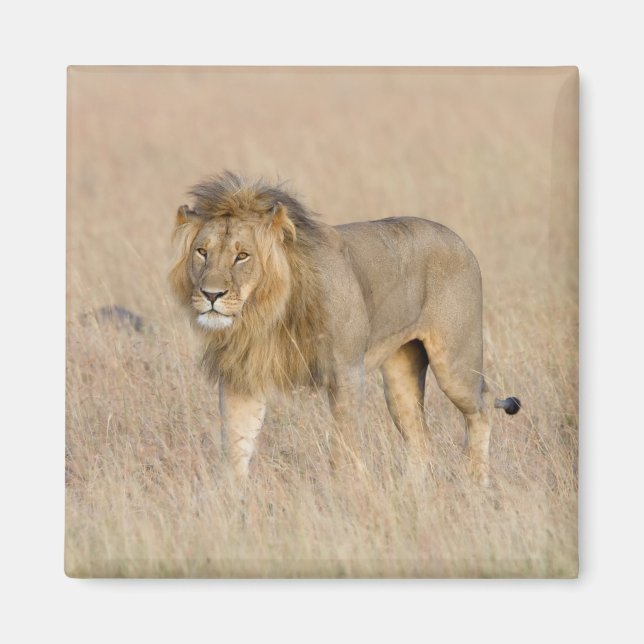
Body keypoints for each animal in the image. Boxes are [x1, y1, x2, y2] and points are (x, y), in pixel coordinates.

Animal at [170, 172, 520, 486]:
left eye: (242, 256)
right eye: (202, 252)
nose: (211, 295)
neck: (265, 312)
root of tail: (458, 240)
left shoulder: (347, 371)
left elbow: (345, 446)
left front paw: (348, 492)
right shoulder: (242, 376)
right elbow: (236, 446)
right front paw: (231, 500)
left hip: (455, 364)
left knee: (483, 404)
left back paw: (476, 482)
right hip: (401, 376)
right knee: (421, 437)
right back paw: (412, 491)